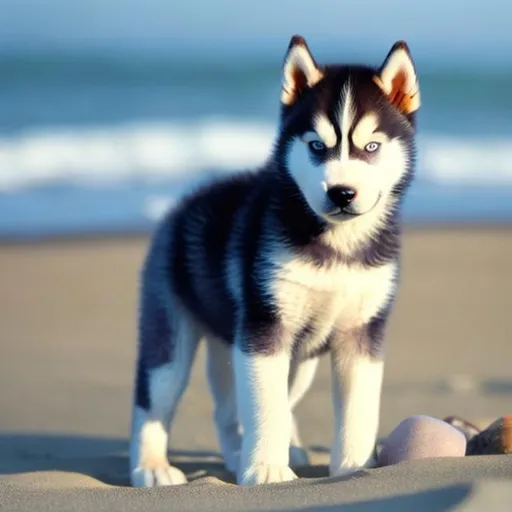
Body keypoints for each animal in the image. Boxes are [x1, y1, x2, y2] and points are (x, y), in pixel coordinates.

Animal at [130, 34, 422, 486]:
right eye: (317, 146)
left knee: (236, 407)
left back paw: (245, 452)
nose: (341, 192)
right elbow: (265, 407)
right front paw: (266, 469)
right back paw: (152, 467)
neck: (337, 245)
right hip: (171, 336)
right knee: (155, 399)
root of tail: (188, 201)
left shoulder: (362, 332)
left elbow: (358, 407)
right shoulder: (264, 327)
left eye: (371, 147)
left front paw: (353, 465)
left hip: (288, 357)